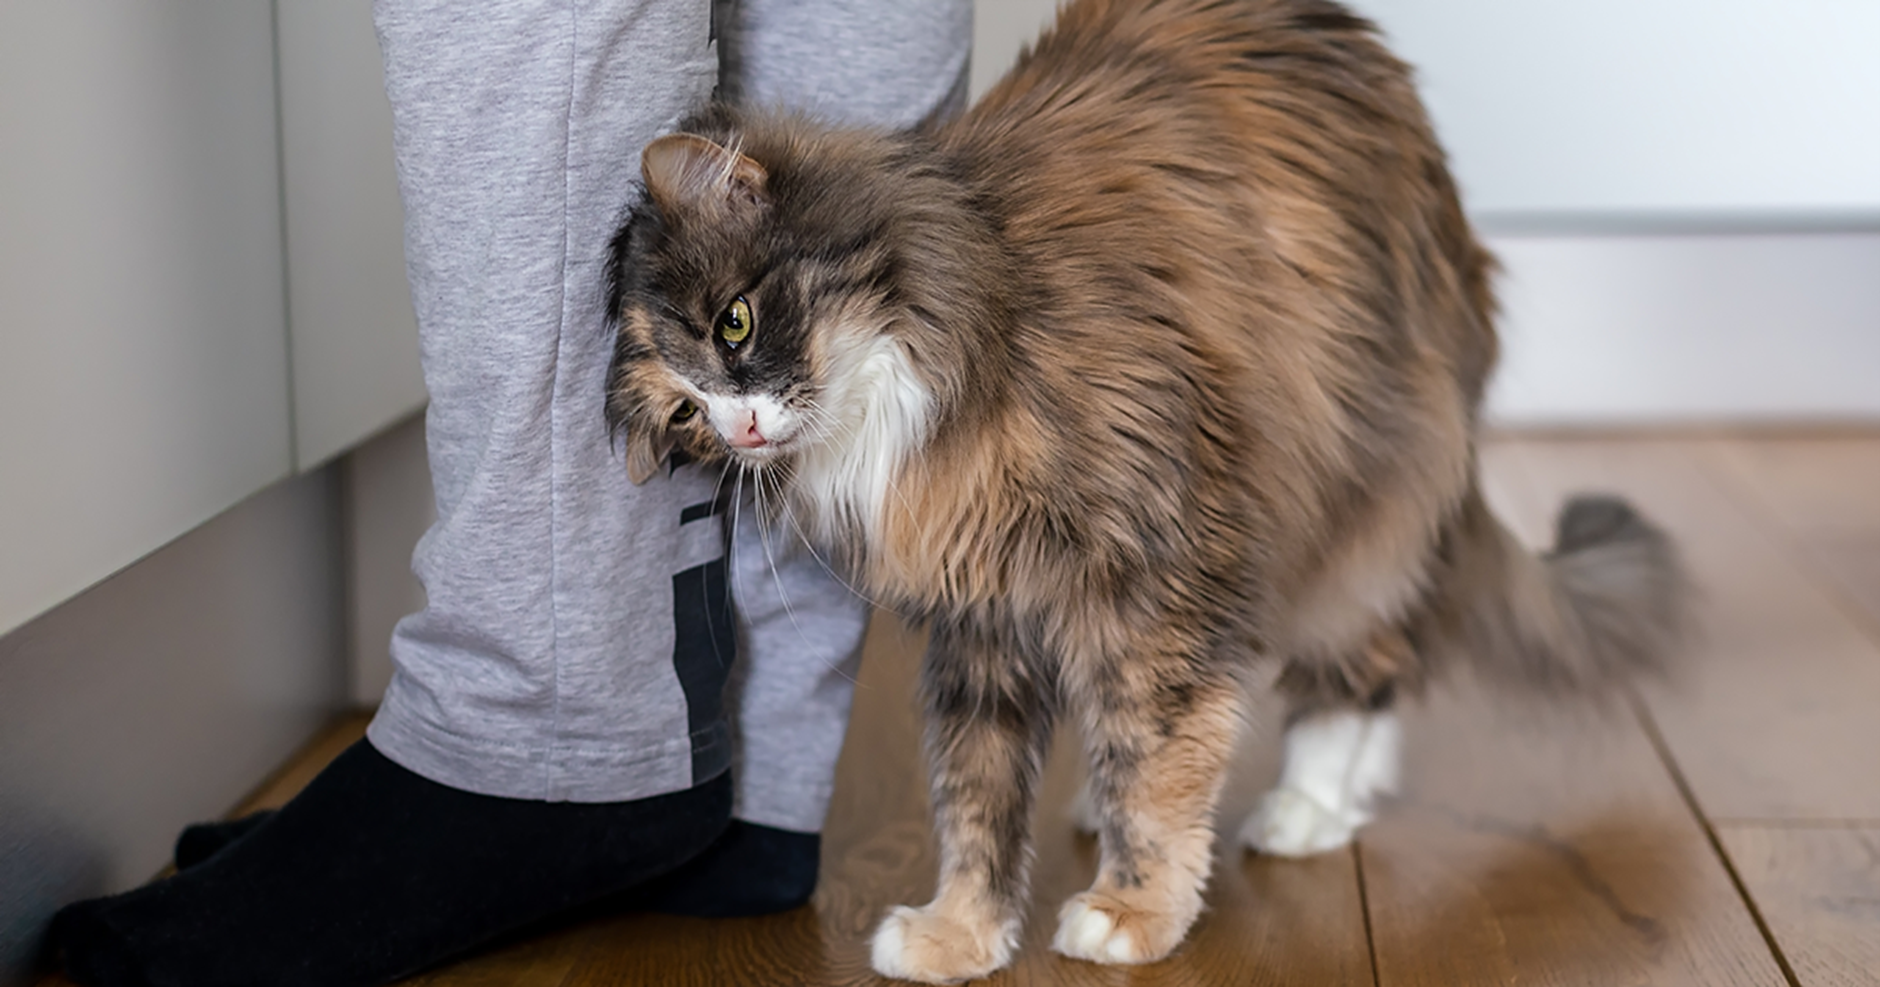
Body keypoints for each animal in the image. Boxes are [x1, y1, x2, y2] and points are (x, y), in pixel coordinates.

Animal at [605, 0, 1692, 977]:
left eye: (735, 323)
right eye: (687, 414)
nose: (739, 429)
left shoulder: (1160, 572)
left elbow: (1159, 758)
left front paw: (1135, 911)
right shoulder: (981, 618)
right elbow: (976, 793)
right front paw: (962, 934)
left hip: (1353, 502)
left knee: (1368, 661)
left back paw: (1309, 806)